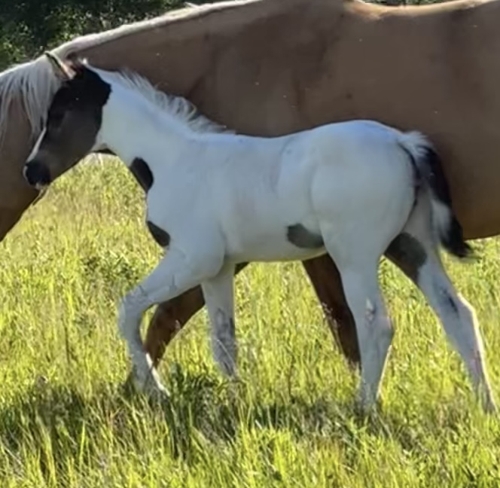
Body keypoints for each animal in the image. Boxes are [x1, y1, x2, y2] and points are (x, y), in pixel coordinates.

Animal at [2, 0, 500, 375]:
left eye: (57, 116)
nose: (32, 171)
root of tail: (404, 142)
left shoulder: (204, 254)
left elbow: (161, 316)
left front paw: (144, 390)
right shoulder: (227, 261)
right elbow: (216, 334)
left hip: (359, 251)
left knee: (381, 323)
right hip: (408, 244)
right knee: (457, 314)